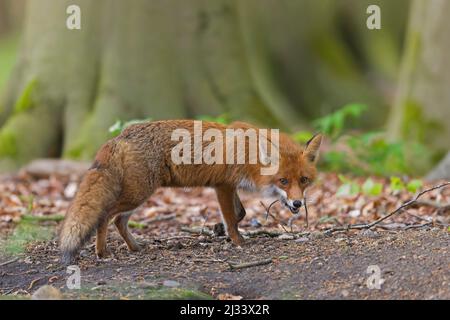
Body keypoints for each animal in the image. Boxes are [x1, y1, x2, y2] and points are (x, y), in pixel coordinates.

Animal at [58, 119, 322, 264]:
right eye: (283, 181)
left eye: (304, 180)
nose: (297, 204)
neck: (250, 155)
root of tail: (120, 135)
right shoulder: (223, 186)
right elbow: (231, 218)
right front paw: (237, 241)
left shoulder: (231, 187)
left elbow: (241, 214)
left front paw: (219, 230)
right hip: (138, 193)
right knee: (105, 216)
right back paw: (102, 252)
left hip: (139, 195)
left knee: (119, 221)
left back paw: (135, 248)